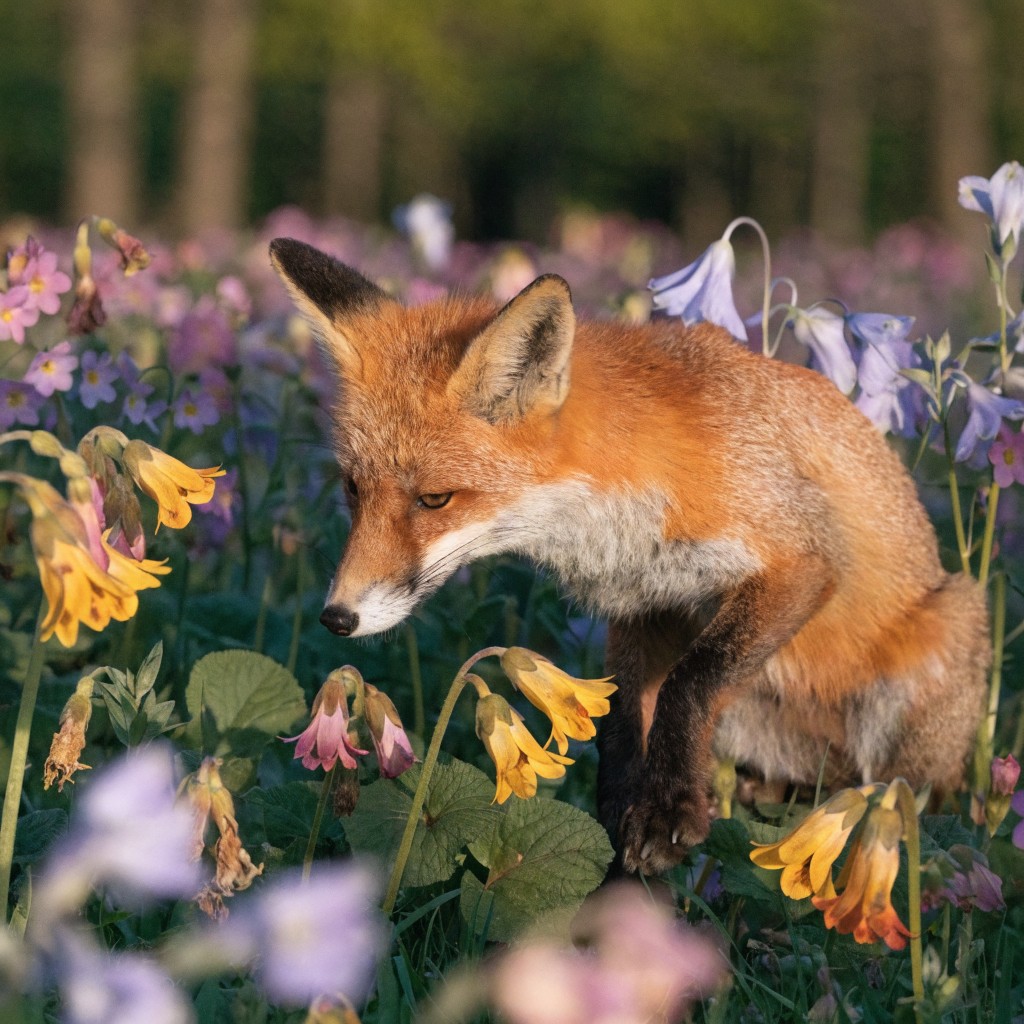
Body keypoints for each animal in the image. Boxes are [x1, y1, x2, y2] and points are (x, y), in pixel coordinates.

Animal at [269, 236, 990, 875]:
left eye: (435, 499)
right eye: (352, 488)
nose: (336, 617)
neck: (618, 507)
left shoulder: (797, 561)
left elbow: (690, 682)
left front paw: (667, 813)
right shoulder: (645, 603)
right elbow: (619, 714)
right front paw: (619, 811)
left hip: (943, 638)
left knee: (897, 794)